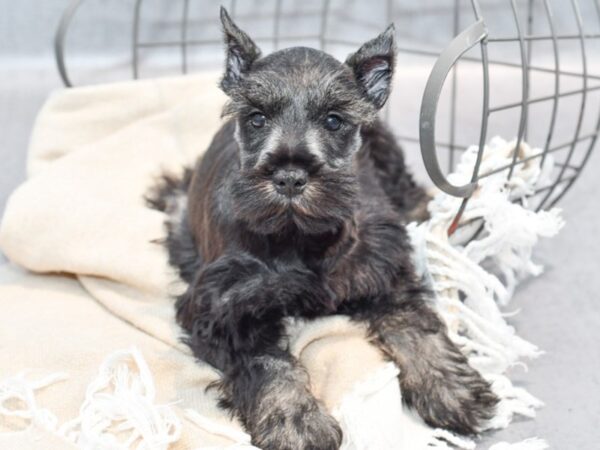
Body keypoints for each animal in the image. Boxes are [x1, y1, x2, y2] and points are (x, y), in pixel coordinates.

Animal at [149, 7, 496, 450]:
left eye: (334, 120)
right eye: (256, 118)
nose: (290, 176)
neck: (298, 237)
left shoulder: (383, 268)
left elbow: (416, 326)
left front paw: (451, 388)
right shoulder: (225, 310)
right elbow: (267, 363)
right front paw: (296, 422)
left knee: (410, 190)